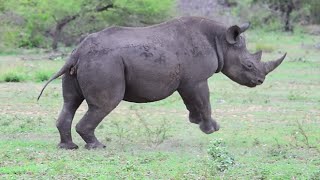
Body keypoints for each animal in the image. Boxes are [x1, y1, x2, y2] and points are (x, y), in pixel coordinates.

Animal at [38, 16, 288, 149]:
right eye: (249, 65)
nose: (260, 80)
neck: (221, 41)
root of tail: (78, 52)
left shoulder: (188, 81)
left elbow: (193, 102)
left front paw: (195, 121)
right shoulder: (196, 79)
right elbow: (204, 100)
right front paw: (211, 129)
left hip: (82, 62)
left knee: (70, 102)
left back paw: (68, 147)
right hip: (104, 62)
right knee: (104, 105)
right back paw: (98, 147)